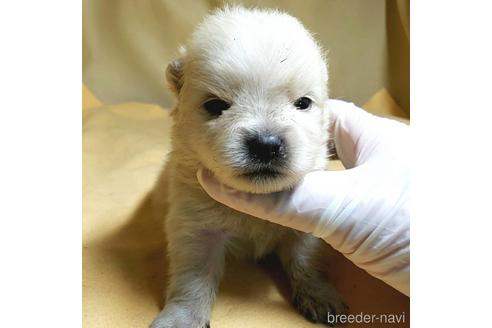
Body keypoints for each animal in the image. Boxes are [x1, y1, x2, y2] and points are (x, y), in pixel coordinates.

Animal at [152, 6, 348, 326]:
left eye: (303, 103)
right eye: (215, 105)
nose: (266, 145)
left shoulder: (307, 231)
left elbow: (307, 260)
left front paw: (321, 296)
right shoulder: (195, 225)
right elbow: (193, 277)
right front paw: (181, 317)